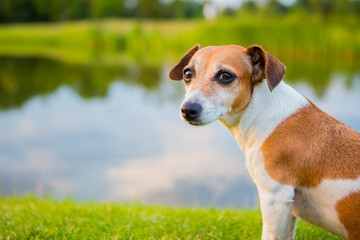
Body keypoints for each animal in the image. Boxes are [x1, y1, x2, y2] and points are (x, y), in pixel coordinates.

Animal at [168, 44, 360, 239]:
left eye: (226, 76)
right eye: (187, 73)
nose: (188, 109)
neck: (260, 112)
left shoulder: (275, 198)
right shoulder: (288, 207)